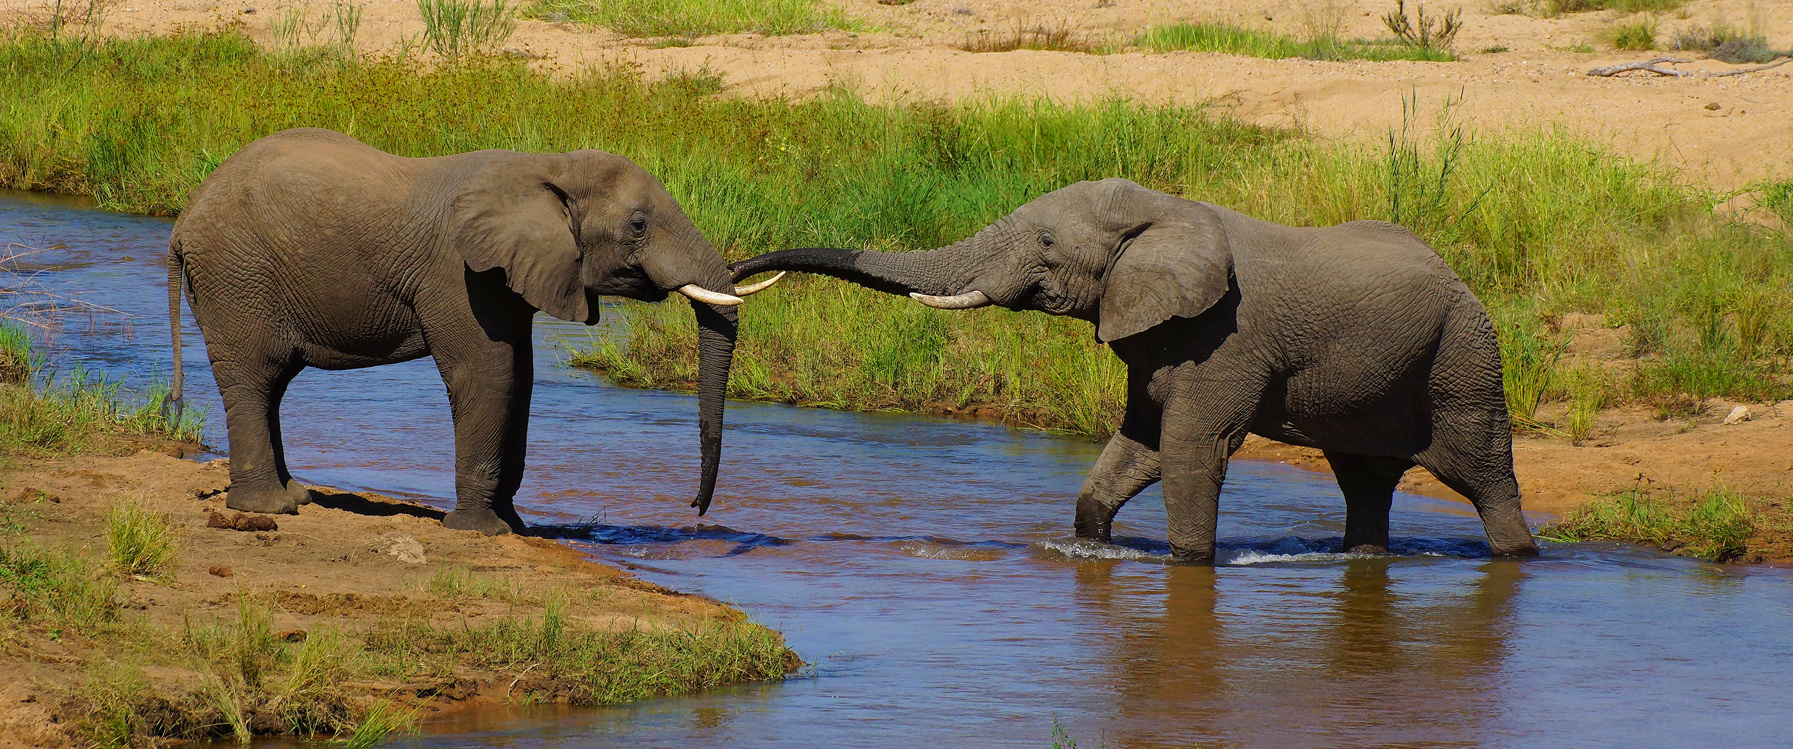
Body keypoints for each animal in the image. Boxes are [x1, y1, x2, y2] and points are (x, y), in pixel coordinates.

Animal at [169, 127, 778, 533]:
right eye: (637, 224)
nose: (694, 510)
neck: (546, 166)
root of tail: (182, 219)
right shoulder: (458, 273)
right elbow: (488, 374)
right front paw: (480, 532)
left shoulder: (510, 276)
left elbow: (522, 381)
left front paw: (515, 527)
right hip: (236, 275)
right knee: (256, 376)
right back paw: (269, 509)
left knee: (273, 383)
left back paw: (296, 496)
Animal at [727, 177, 1541, 562]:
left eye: (1046, 243)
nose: (734, 270)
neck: (1165, 208)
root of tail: (1465, 283)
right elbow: (1137, 447)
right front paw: (1093, 546)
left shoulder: (1224, 338)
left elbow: (1188, 448)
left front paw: (1187, 563)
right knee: (1363, 480)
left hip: (1463, 356)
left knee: (1480, 471)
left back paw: (1516, 557)